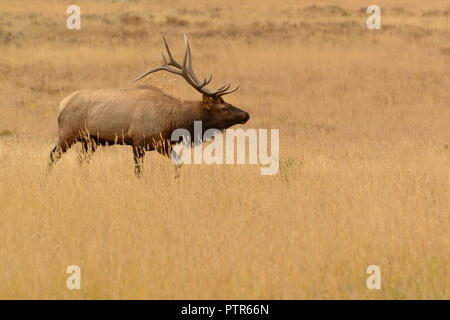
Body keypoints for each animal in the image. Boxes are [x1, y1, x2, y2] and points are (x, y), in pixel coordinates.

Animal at [51, 32, 253, 176]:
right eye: (223, 108)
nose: (246, 114)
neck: (174, 123)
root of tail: (62, 104)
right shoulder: (138, 141)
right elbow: (138, 171)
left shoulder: (162, 144)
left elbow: (178, 164)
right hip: (68, 133)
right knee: (53, 155)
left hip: (91, 141)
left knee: (81, 161)